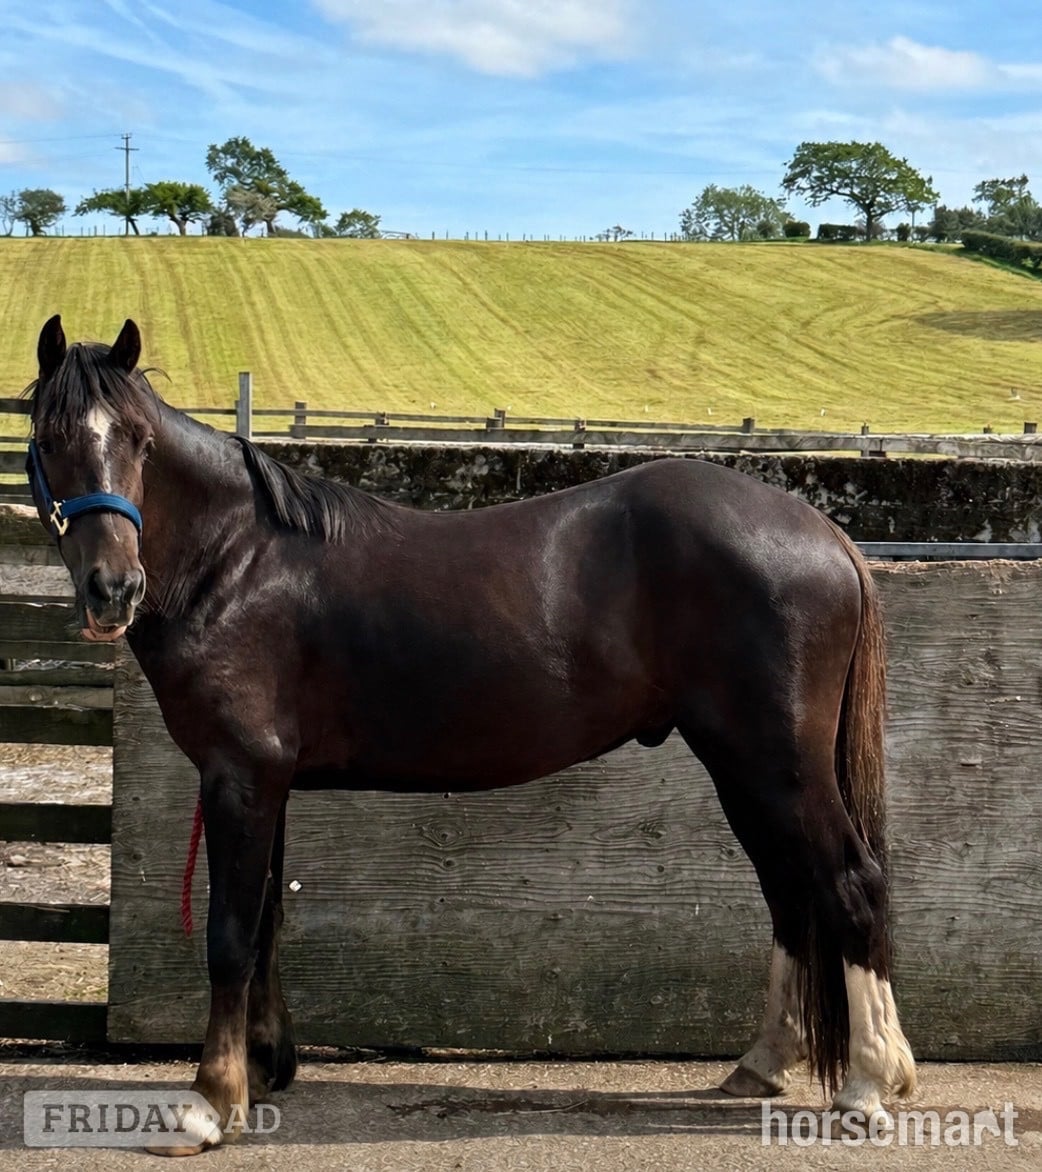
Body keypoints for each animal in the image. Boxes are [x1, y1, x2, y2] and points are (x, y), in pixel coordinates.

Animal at [25, 315, 916, 1155]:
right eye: (49, 439)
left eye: (139, 441)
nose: (113, 590)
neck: (237, 564)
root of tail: (825, 534)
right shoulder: (268, 782)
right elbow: (269, 921)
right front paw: (267, 1068)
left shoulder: (239, 776)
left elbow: (232, 934)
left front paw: (210, 1103)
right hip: (743, 765)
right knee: (790, 894)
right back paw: (764, 1062)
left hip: (778, 764)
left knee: (850, 883)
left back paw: (871, 1084)